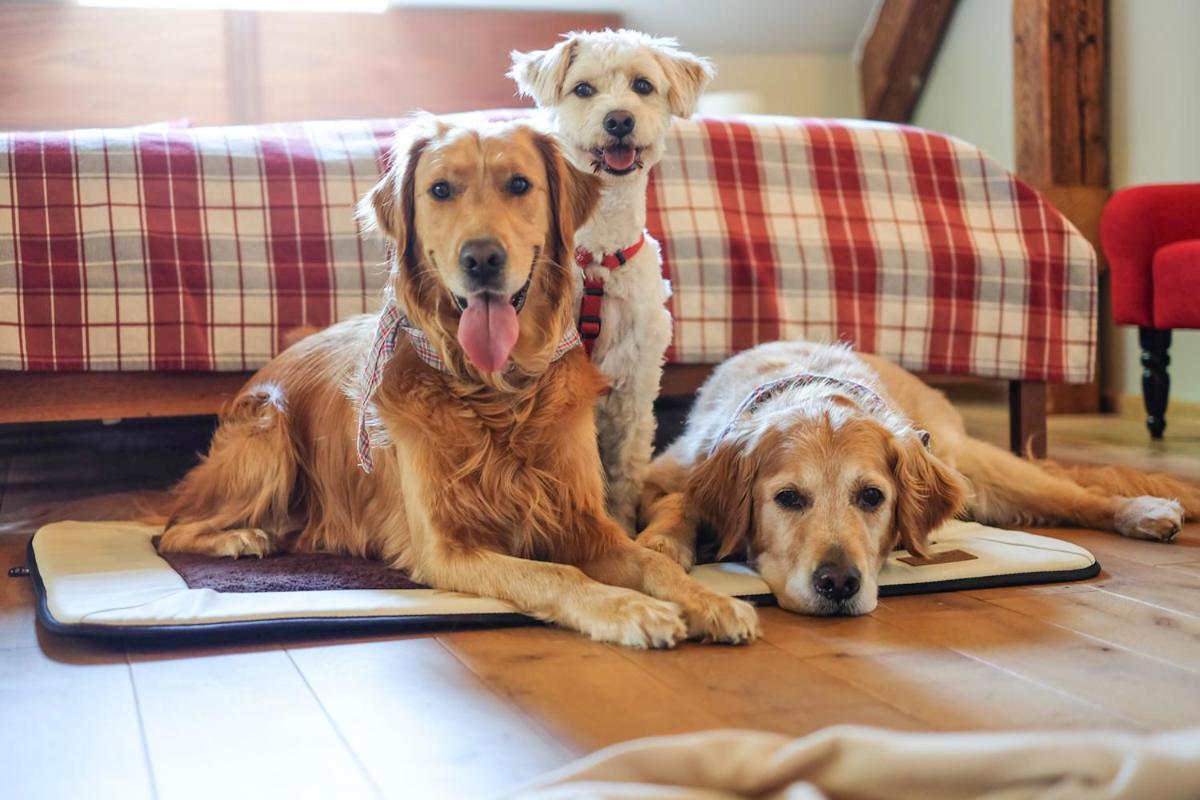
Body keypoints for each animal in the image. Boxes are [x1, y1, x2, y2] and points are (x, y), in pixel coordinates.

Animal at [511, 29, 715, 532]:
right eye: (583, 89)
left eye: (643, 86)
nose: (619, 119)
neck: (596, 261)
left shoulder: (635, 391)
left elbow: (624, 475)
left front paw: (622, 528)